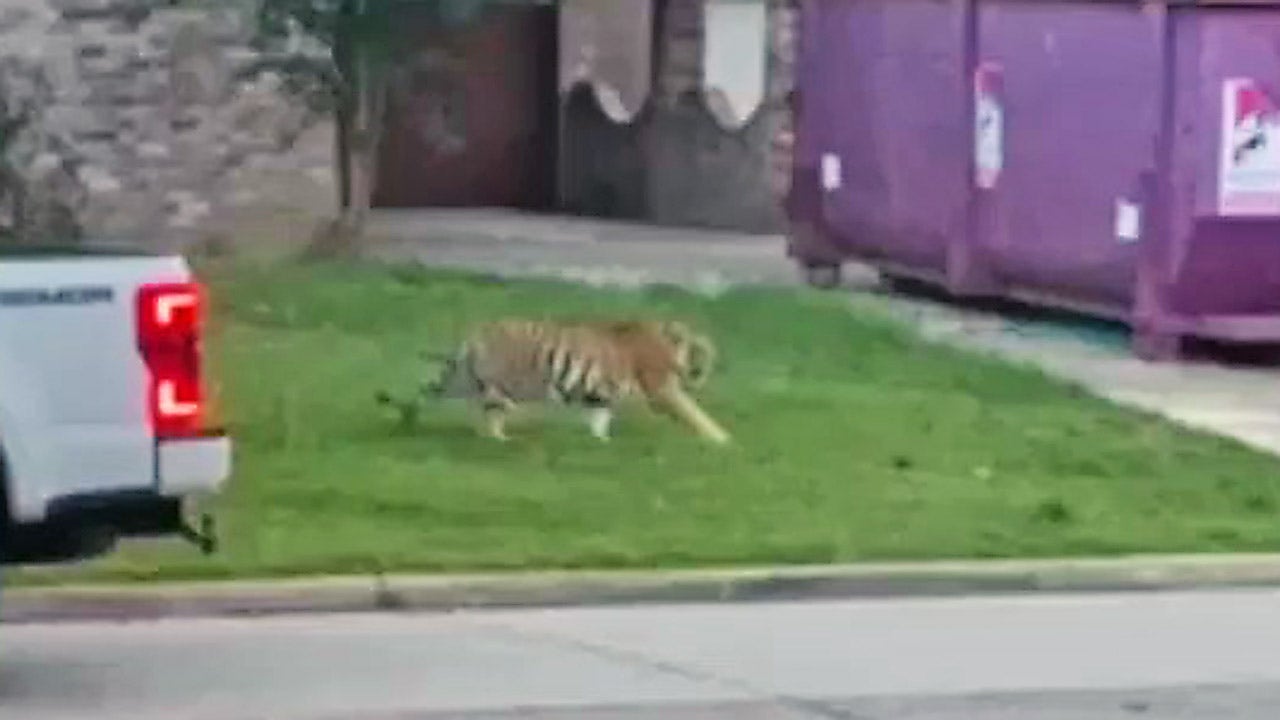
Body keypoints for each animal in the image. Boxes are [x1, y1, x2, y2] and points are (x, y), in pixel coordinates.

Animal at [422, 315, 732, 443]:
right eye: (702, 359)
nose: (697, 377)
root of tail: (478, 334)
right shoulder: (663, 390)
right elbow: (695, 414)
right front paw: (721, 440)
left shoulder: (600, 396)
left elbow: (599, 419)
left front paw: (601, 442)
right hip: (510, 383)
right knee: (490, 407)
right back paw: (499, 438)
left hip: (468, 379)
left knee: (442, 392)